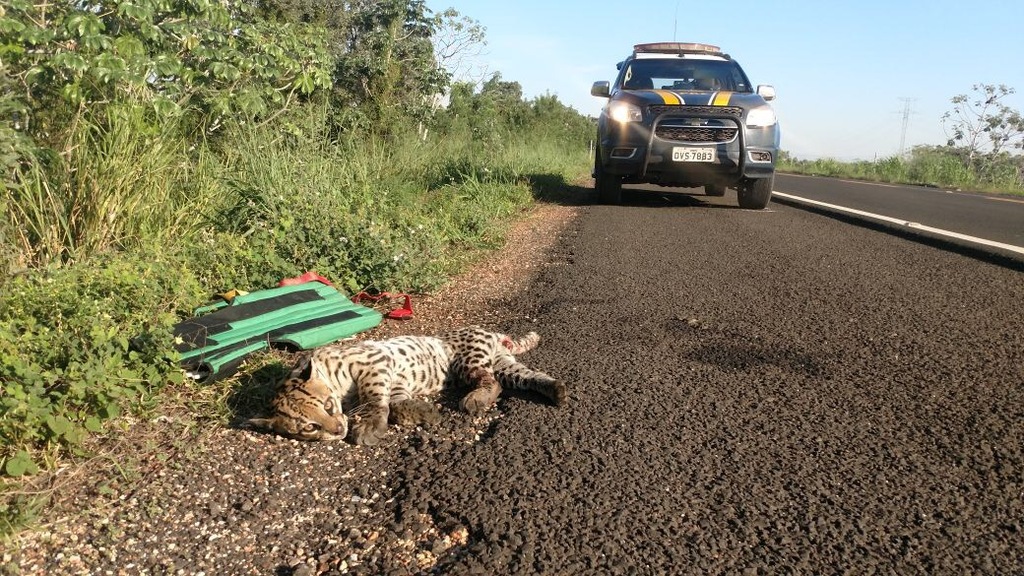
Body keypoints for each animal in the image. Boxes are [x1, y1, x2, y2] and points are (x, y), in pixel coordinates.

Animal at [247, 325, 569, 440]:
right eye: (310, 428)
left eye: (327, 406)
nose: (338, 430)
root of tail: (492, 333)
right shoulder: (395, 381)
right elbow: (398, 406)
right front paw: (423, 412)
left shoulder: (374, 365)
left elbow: (374, 400)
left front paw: (369, 427)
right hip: (504, 365)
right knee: (526, 377)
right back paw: (557, 389)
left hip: (468, 360)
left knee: (493, 383)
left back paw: (476, 399)